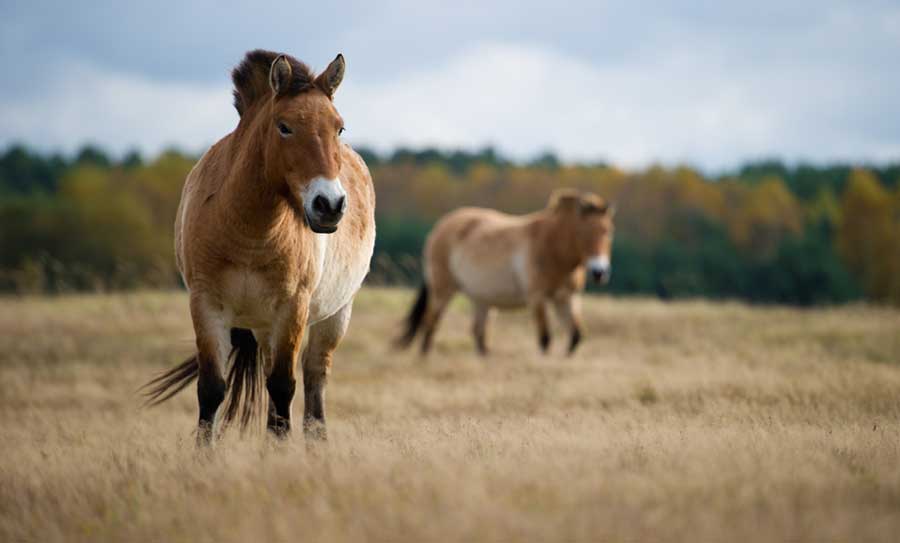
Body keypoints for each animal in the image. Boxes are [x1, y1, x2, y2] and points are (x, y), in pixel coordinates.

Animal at [140, 50, 376, 446]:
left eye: (339, 128)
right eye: (284, 127)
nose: (329, 205)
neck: (250, 232)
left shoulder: (292, 309)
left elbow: (283, 389)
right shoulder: (207, 307)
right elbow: (212, 390)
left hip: (334, 316)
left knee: (314, 381)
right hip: (265, 328)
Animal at [398, 190, 616, 356]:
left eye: (608, 232)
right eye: (582, 233)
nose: (599, 272)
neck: (554, 249)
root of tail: (440, 227)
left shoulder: (566, 298)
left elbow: (576, 337)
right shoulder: (537, 297)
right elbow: (545, 338)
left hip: (481, 299)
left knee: (479, 333)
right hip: (443, 288)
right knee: (431, 323)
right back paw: (425, 357)